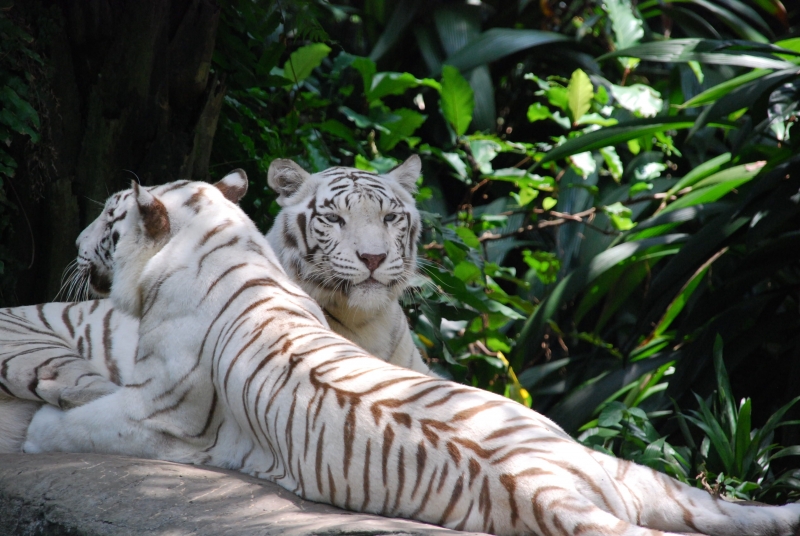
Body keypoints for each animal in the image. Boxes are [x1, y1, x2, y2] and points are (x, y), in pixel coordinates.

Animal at [14, 169, 800, 536]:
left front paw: (43, 413)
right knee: (722, 510)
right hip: (636, 477)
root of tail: (544, 477)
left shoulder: (158, 415)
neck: (219, 240)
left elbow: (60, 425)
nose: (76, 242)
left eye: (108, 216)